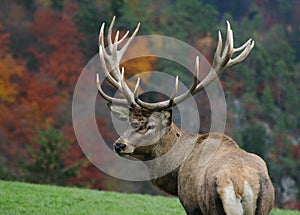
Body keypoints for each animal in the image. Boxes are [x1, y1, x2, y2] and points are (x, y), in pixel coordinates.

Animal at [96, 16, 274, 215]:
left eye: (150, 125)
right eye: (129, 122)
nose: (119, 145)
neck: (176, 172)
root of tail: (240, 184)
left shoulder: (190, 203)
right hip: (264, 205)